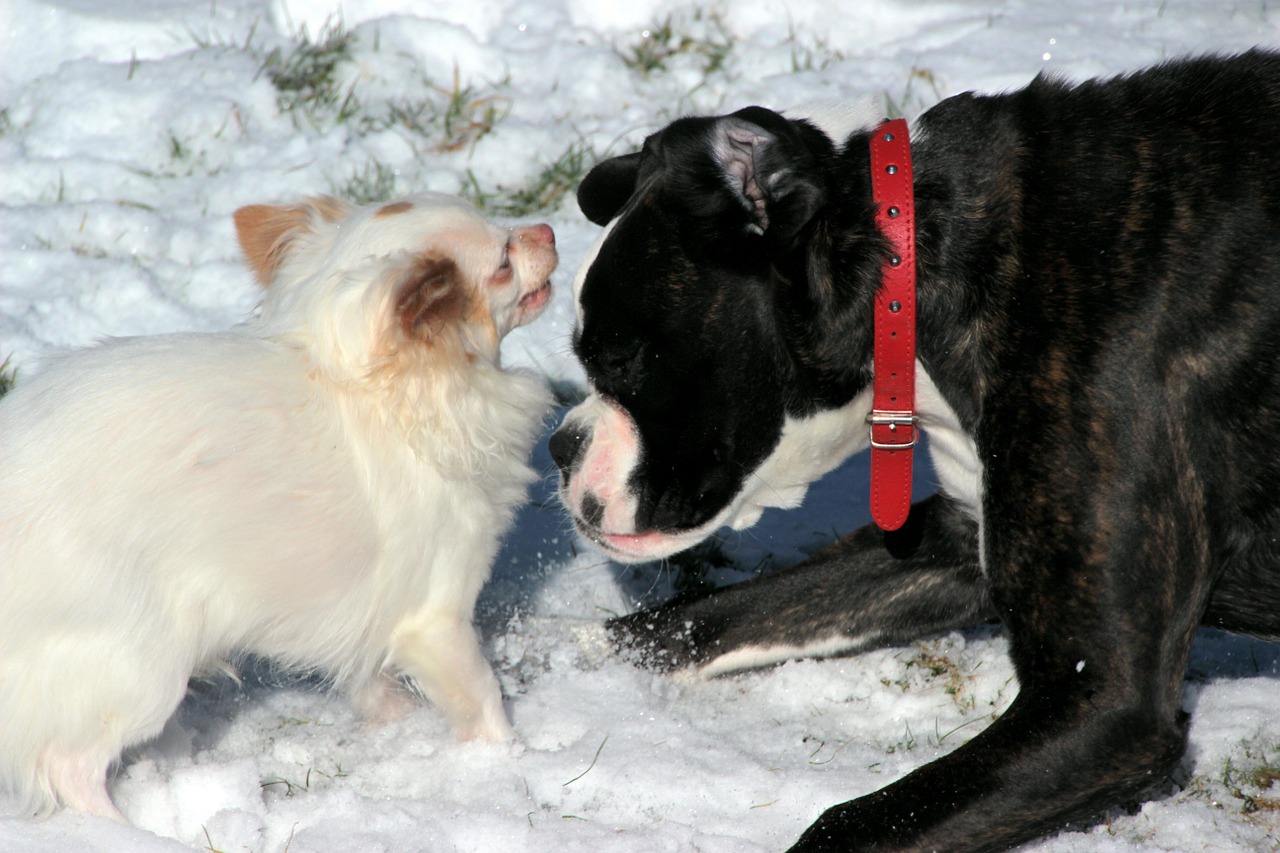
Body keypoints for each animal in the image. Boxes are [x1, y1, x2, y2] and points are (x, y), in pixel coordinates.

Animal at [0, 190, 555, 819]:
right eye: (503, 262)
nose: (547, 230)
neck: (373, 390)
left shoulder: (362, 607)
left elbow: (366, 673)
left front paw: (396, 722)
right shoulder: (436, 618)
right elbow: (482, 696)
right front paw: (506, 763)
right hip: (140, 664)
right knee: (69, 767)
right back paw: (125, 827)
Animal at [555, 53, 1280, 850]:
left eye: (619, 357)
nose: (560, 446)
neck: (918, 272)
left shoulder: (1105, 700)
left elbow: (853, 824)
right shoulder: (951, 541)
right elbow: (703, 618)